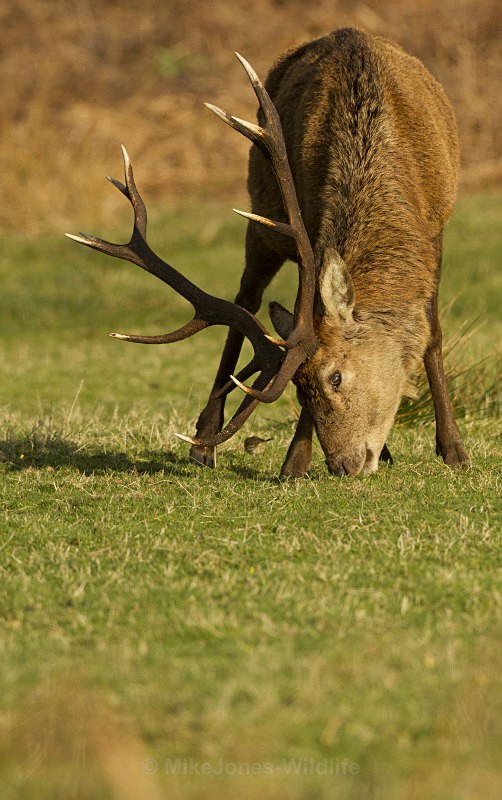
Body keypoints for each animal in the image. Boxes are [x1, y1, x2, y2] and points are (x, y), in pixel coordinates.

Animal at [67, 28, 469, 477]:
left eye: (335, 377)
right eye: (301, 387)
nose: (342, 465)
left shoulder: (436, 230)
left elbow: (432, 335)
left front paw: (455, 450)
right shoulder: (306, 230)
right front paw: (295, 461)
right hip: (261, 223)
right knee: (245, 300)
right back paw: (205, 441)